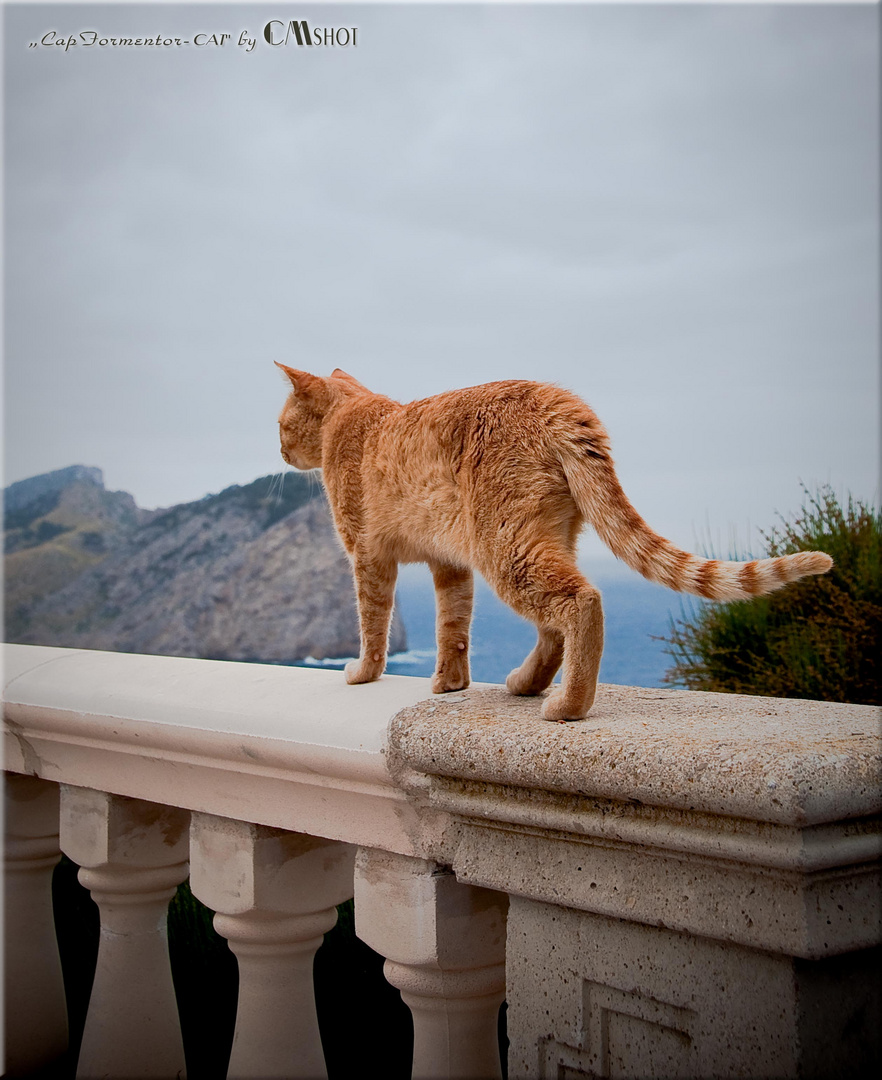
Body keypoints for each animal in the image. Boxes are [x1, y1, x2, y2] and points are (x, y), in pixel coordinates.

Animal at [276, 367, 833, 721]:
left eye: (281, 424)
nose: (278, 450)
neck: (351, 416)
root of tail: (556, 401)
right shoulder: (450, 563)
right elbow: (453, 627)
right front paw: (451, 682)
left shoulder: (368, 558)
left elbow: (373, 624)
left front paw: (363, 673)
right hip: (539, 538)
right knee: (553, 626)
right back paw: (528, 682)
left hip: (506, 548)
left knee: (581, 603)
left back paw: (569, 705)